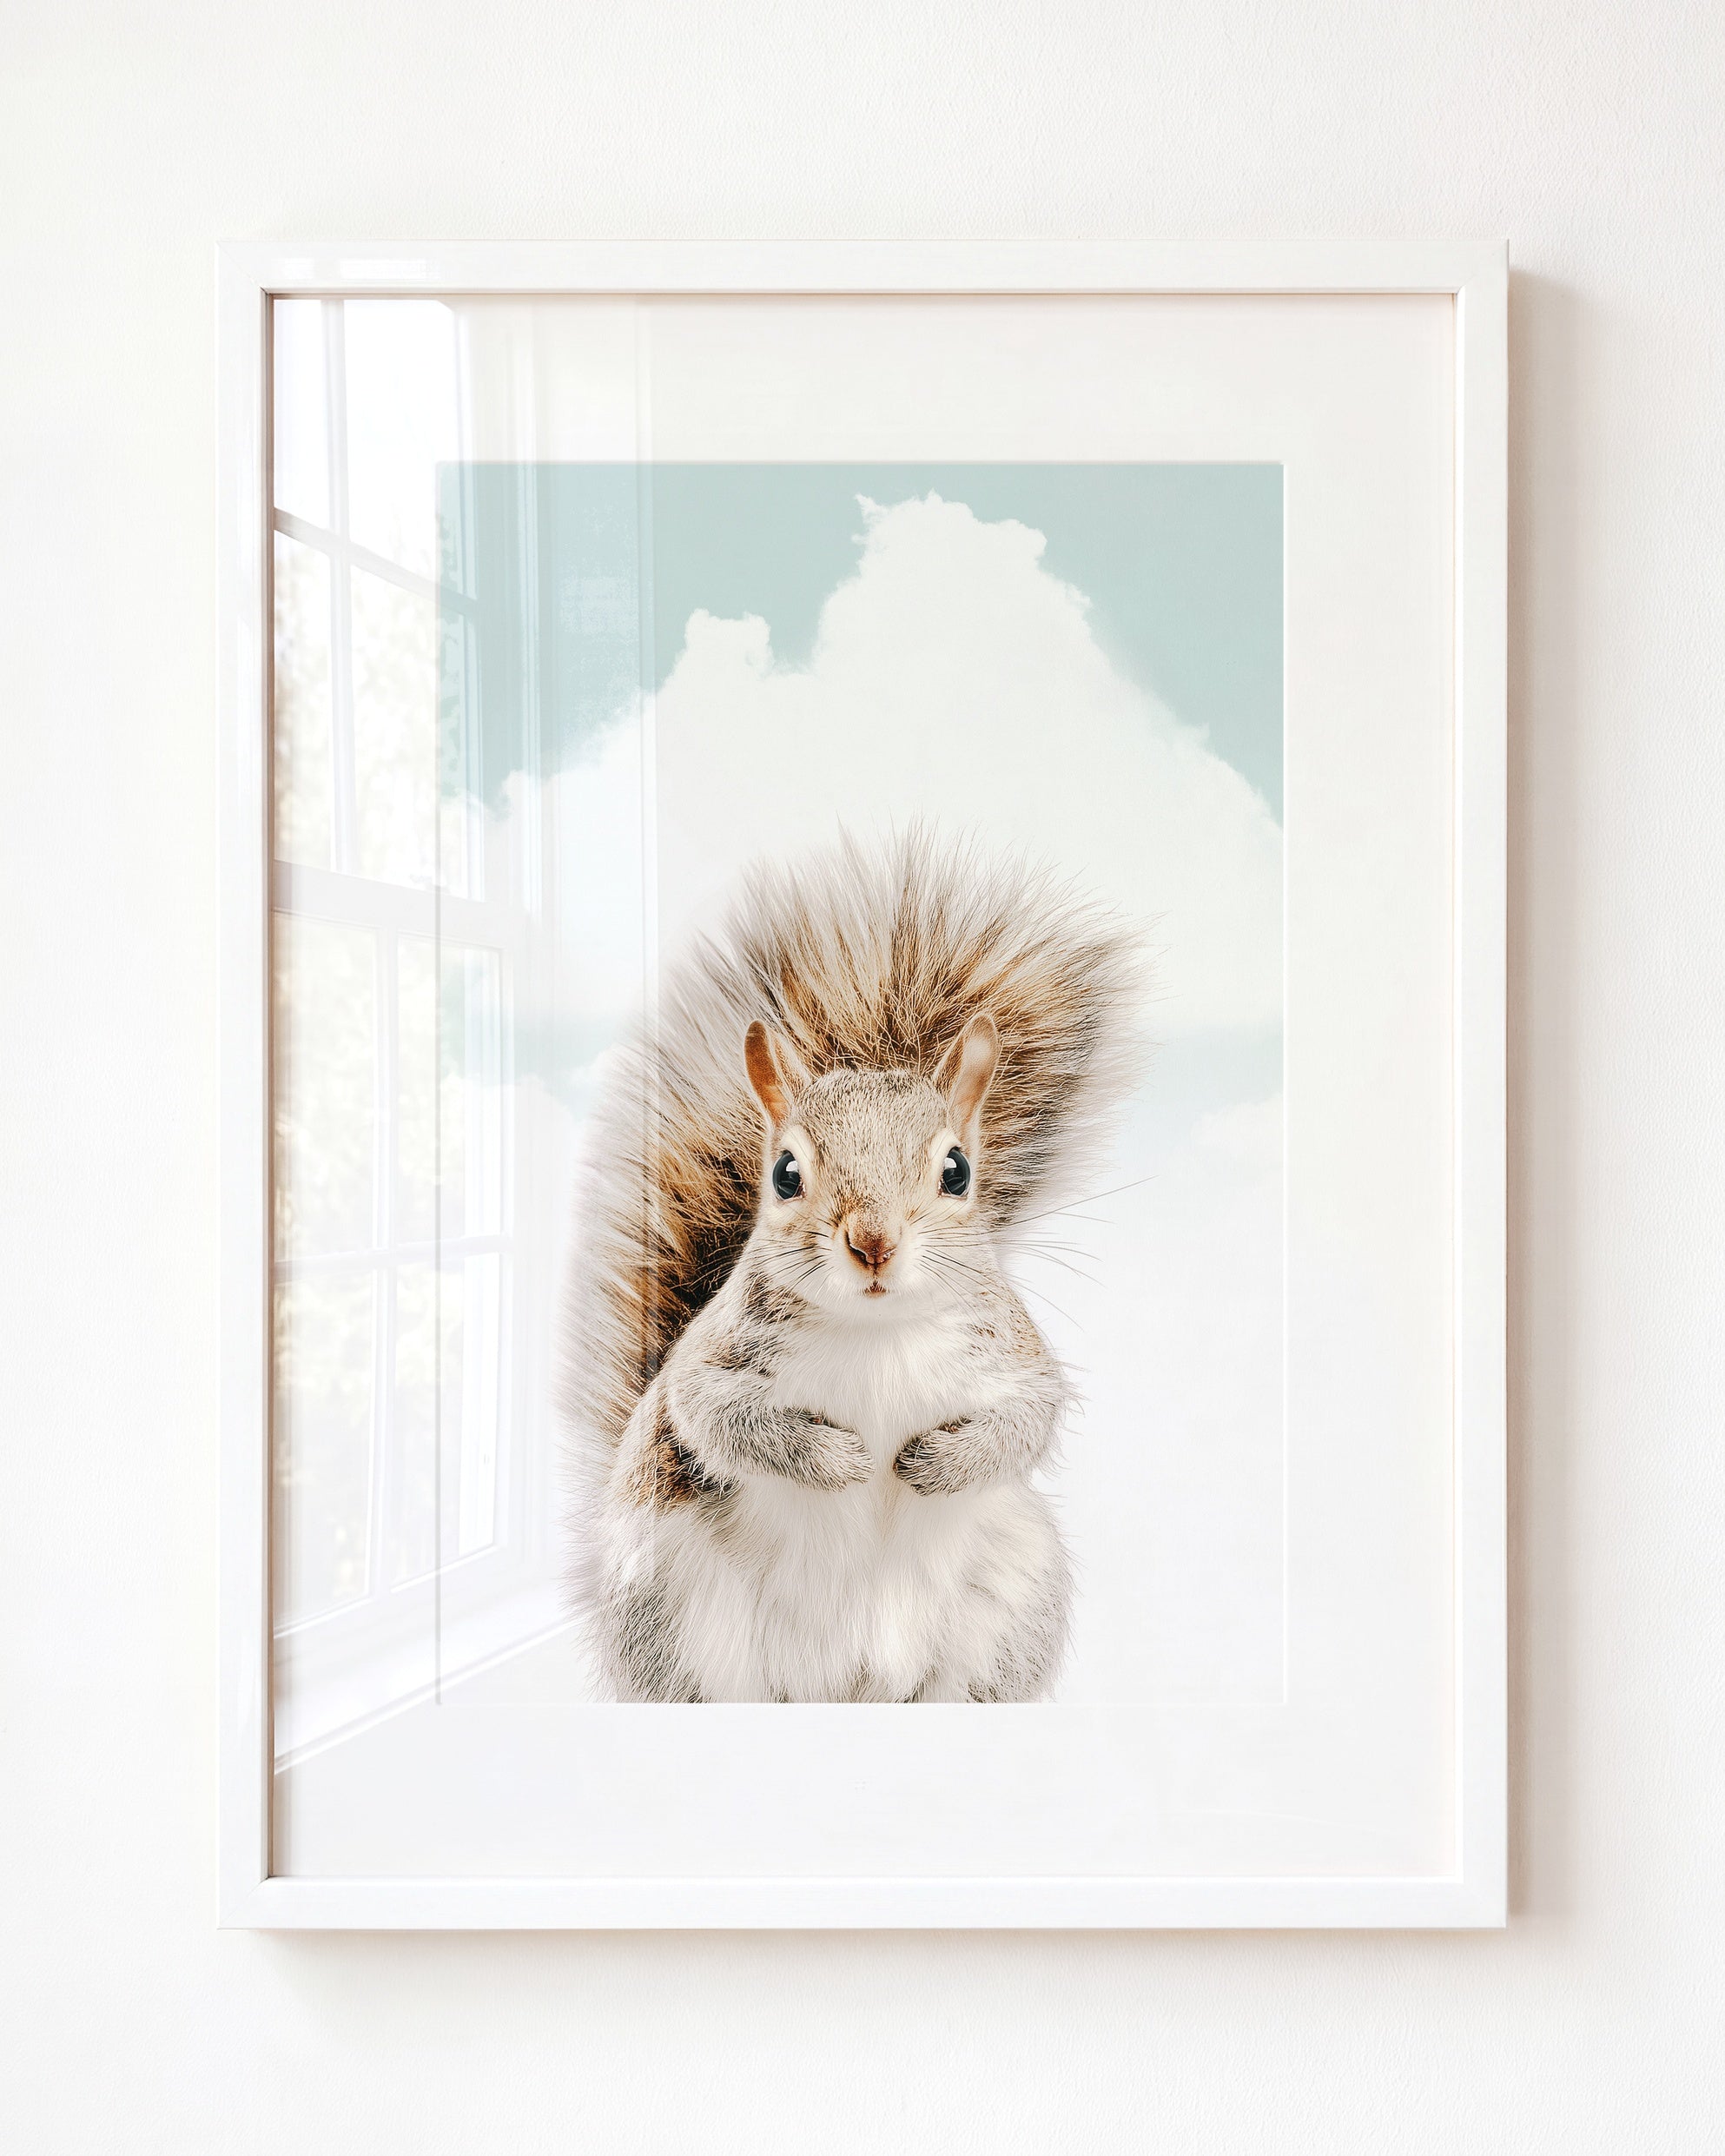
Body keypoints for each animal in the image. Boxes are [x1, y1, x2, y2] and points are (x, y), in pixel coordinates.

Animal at [557, 829, 1141, 1702]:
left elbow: (1026, 1422)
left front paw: (934, 1463)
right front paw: (839, 1460)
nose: (873, 1242)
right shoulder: (711, 1362)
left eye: (958, 1171)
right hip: (672, 1608)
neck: (876, 1330)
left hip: (1008, 1606)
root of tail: (847, 1684)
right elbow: (717, 1416)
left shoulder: (1014, 1359)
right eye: (784, 1174)